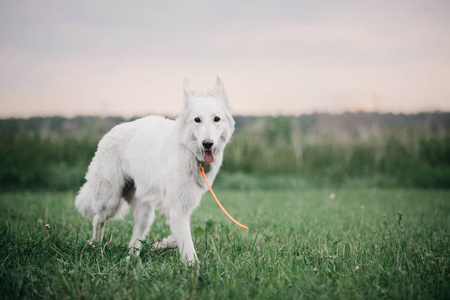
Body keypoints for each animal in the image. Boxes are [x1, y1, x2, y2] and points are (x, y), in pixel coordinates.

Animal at [74, 77, 236, 262]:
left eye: (216, 119)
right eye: (197, 120)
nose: (207, 143)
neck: (190, 153)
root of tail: (110, 132)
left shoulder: (181, 207)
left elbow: (179, 236)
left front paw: (160, 244)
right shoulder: (178, 208)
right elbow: (187, 245)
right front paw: (192, 264)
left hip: (145, 214)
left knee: (135, 240)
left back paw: (131, 258)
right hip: (109, 201)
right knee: (97, 220)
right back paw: (95, 246)